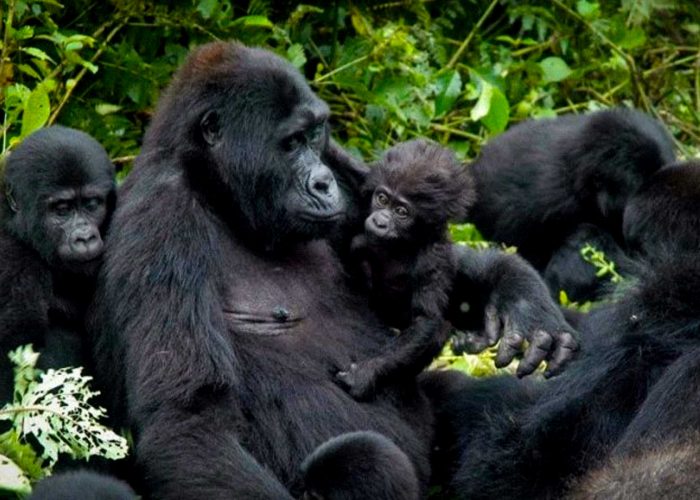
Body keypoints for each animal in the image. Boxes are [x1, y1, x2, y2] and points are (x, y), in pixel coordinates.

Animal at [336, 140, 474, 398]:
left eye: (401, 212)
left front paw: (366, 373)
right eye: (382, 199)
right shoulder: (368, 184)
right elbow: (356, 172)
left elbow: (425, 321)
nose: (379, 221)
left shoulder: (434, 258)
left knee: (439, 329)